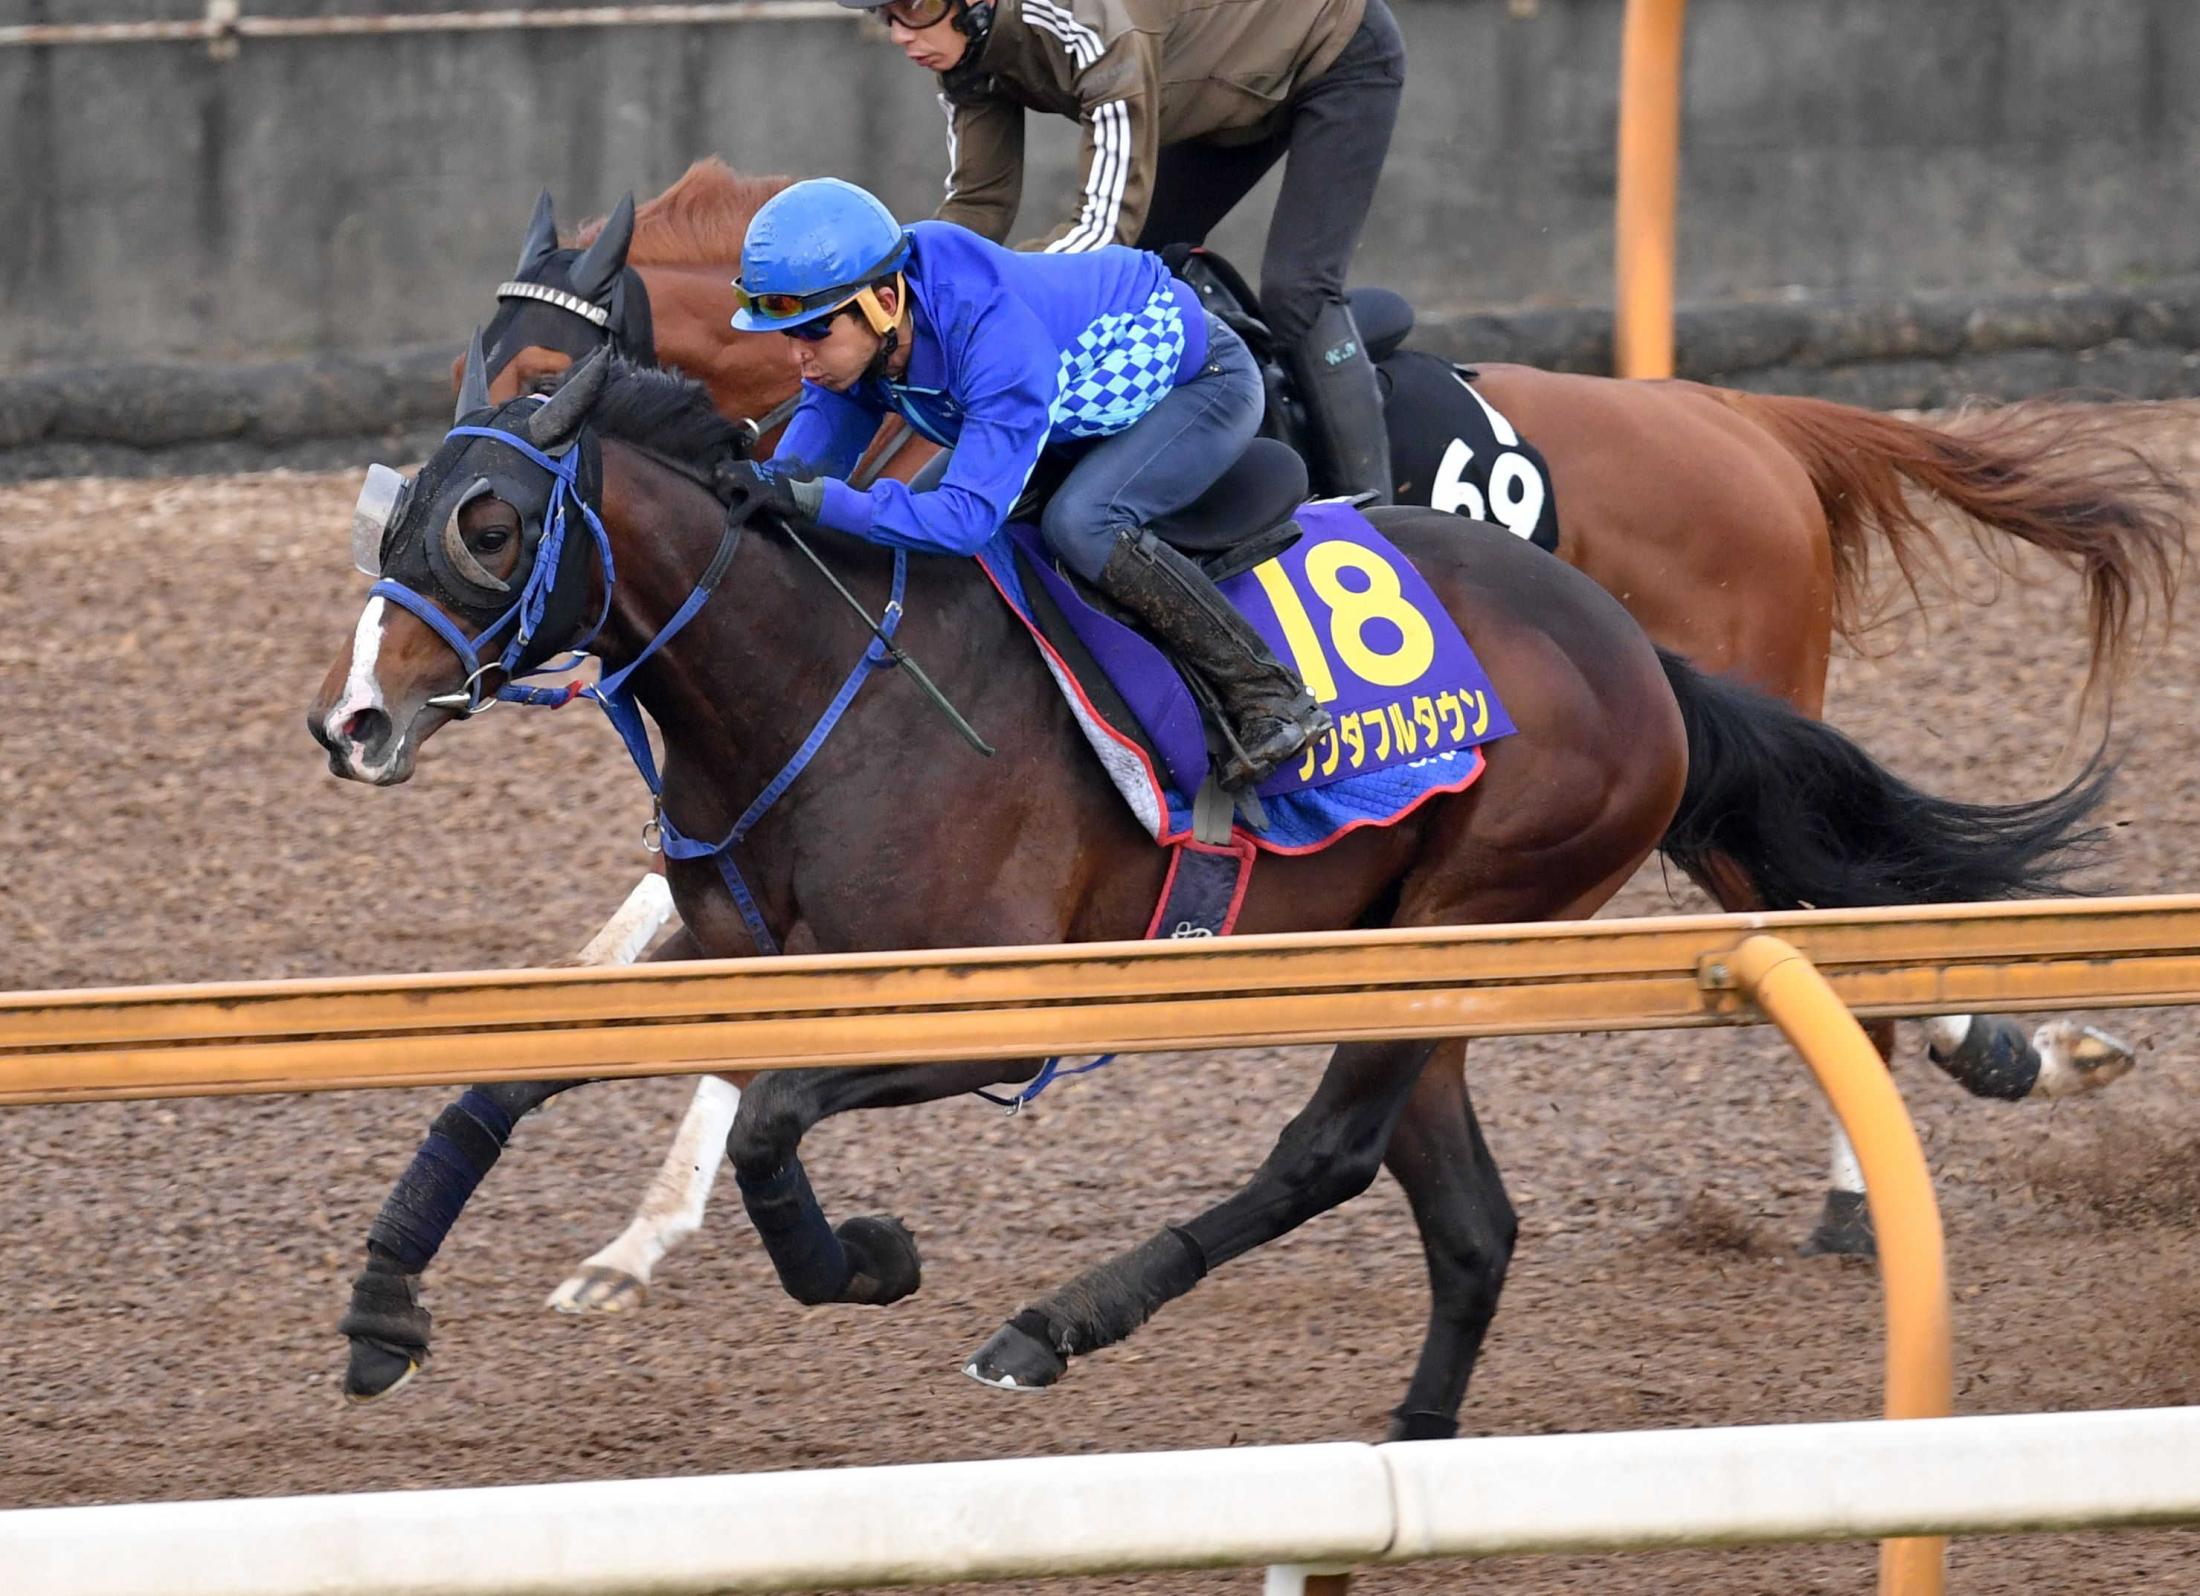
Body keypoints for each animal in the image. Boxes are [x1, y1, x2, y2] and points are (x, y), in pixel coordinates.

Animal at [301, 352, 2103, 1435]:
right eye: (396, 517)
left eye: (488, 523)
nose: (355, 720)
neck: (830, 679)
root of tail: (1635, 656)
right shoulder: (735, 949)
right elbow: (512, 1069)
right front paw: (388, 1304)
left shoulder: (1001, 1010)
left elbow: (771, 1127)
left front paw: (861, 1258)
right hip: (1410, 943)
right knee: (1465, 1214)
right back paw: (1413, 1449)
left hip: (1466, 913)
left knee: (1332, 1151)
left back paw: (1057, 1323)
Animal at [455, 158, 2173, 1294]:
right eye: (471, 372)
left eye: (538, 369)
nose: (441, 520)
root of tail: (1748, 422)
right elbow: (646, 947)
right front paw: (623, 1225)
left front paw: (642, 1235)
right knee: (1837, 896)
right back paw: (2006, 1057)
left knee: (1827, 920)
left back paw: (1896, 1156)